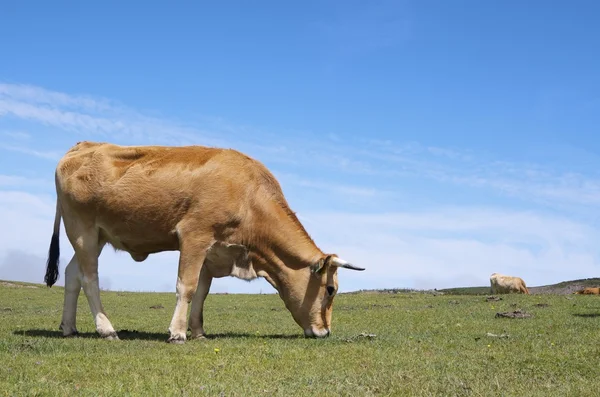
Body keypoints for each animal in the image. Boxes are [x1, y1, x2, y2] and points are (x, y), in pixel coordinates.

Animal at [44, 141, 364, 342]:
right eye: (331, 290)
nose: (325, 332)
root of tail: (82, 145)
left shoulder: (213, 252)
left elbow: (201, 292)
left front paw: (197, 332)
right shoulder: (194, 237)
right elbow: (186, 286)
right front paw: (177, 333)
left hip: (96, 236)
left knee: (72, 274)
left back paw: (69, 327)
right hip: (82, 229)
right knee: (89, 279)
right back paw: (106, 329)